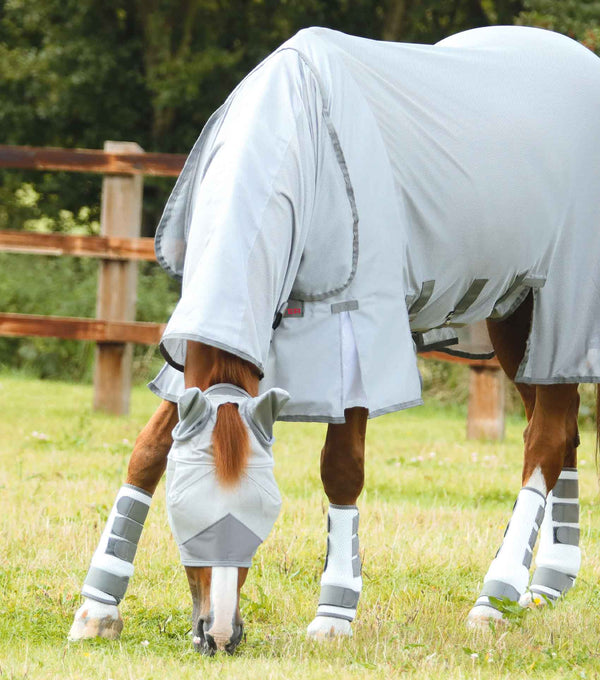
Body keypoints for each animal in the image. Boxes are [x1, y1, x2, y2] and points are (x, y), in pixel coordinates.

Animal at [69, 26, 600, 653]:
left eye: (262, 514)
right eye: (185, 513)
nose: (219, 635)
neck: (293, 140)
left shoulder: (355, 336)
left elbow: (341, 468)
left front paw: (333, 615)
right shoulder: (227, 344)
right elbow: (148, 452)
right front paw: (97, 607)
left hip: (563, 309)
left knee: (545, 440)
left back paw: (495, 599)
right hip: (515, 317)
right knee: (560, 435)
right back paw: (547, 583)